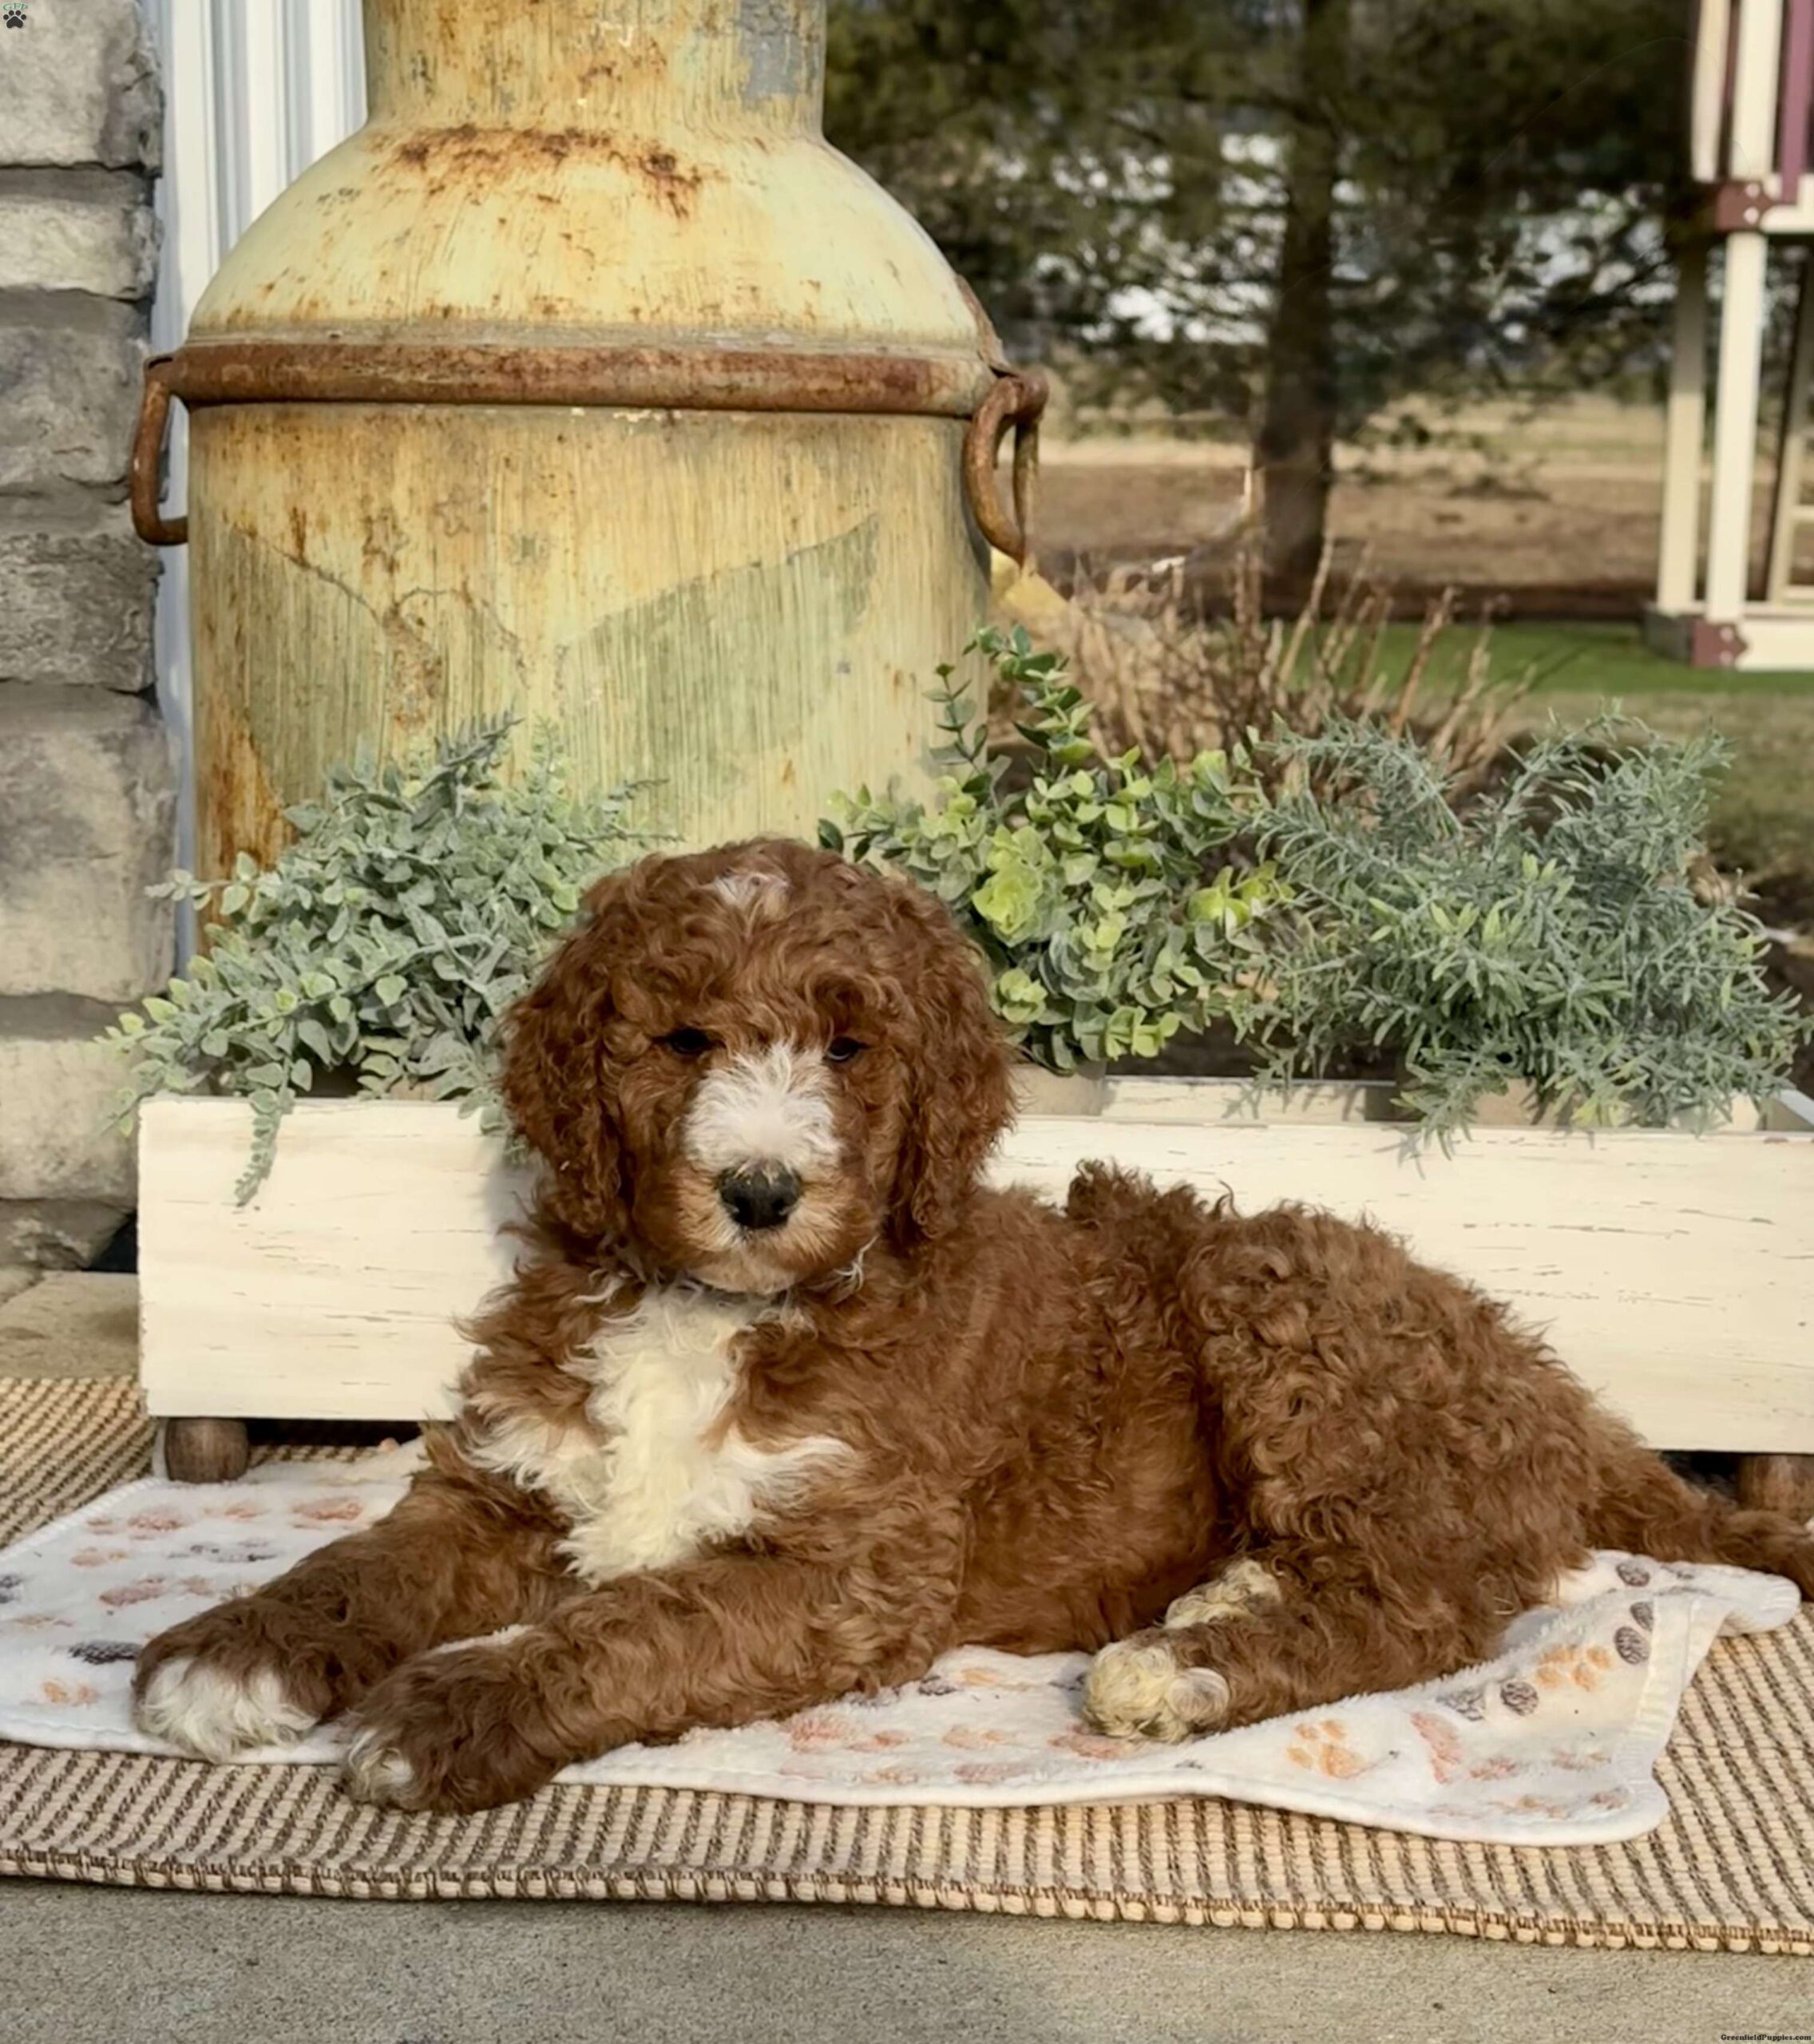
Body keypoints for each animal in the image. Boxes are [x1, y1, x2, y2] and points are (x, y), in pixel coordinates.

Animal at [133, 839, 1814, 1812]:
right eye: (682, 1039)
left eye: (849, 1048)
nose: (758, 1189)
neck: (717, 1308)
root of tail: (1546, 1386)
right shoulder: (508, 1482)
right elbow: (362, 1565)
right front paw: (232, 1655)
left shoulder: (853, 1567)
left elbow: (634, 1624)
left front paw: (452, 1710)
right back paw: (1214, 1600)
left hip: (1274, 1297)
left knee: (1431, 1609)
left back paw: (1179, 1670)